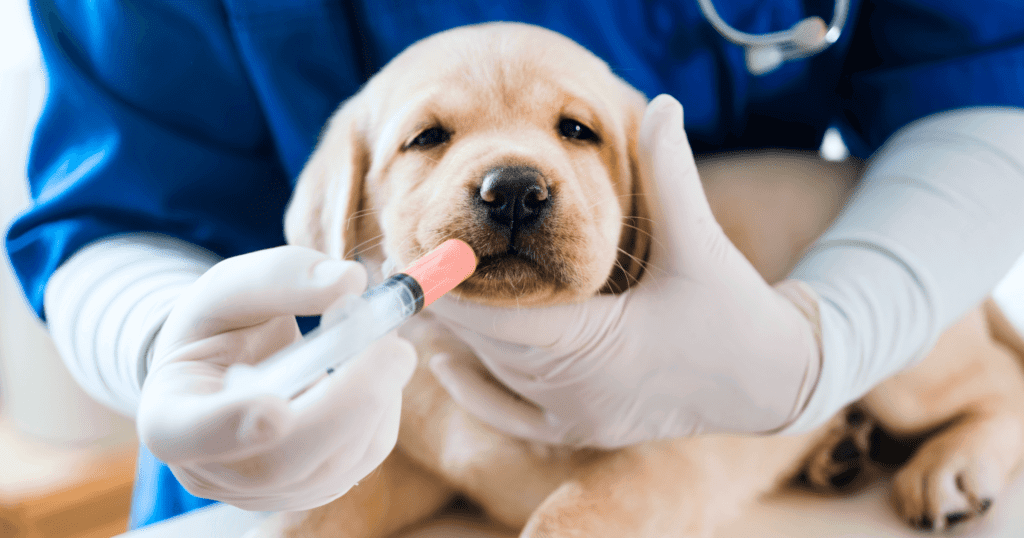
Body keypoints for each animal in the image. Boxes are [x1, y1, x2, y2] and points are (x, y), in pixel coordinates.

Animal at [251, 23, 1024, 532]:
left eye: (576, 130)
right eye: (427, 138)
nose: (514, 190)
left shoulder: (669, 450)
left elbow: (570, 510)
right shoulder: (409, 459)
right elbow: (319, 509)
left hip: (911, 373)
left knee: (999, 382)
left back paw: (953, 464)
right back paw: (838, 451)